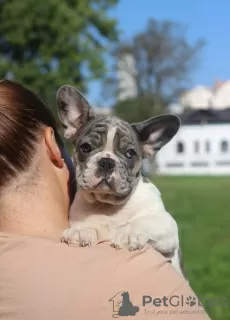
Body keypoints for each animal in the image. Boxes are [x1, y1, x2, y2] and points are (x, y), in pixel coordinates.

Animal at [56, 85, 186, 278]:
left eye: (130, 154)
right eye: (85, 147)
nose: (106, 162)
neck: (109, 205)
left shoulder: (166, 225)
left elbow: (144, 221)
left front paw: (128, 233)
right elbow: (92, 224)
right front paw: (82, 230)